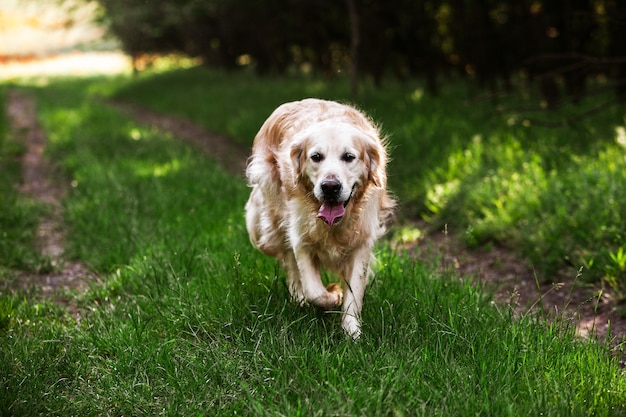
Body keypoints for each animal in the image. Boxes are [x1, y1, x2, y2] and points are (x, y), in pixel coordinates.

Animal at [243, 98, 392, 338]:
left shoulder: (362, 241)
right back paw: (299, 298)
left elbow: (354, 292)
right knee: (289, 261)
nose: (330, 186)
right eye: (316, 157)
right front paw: (332, 296)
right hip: (276, 216)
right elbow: (315, 291)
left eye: (349, 157)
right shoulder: (301, 237)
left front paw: (352, 333)